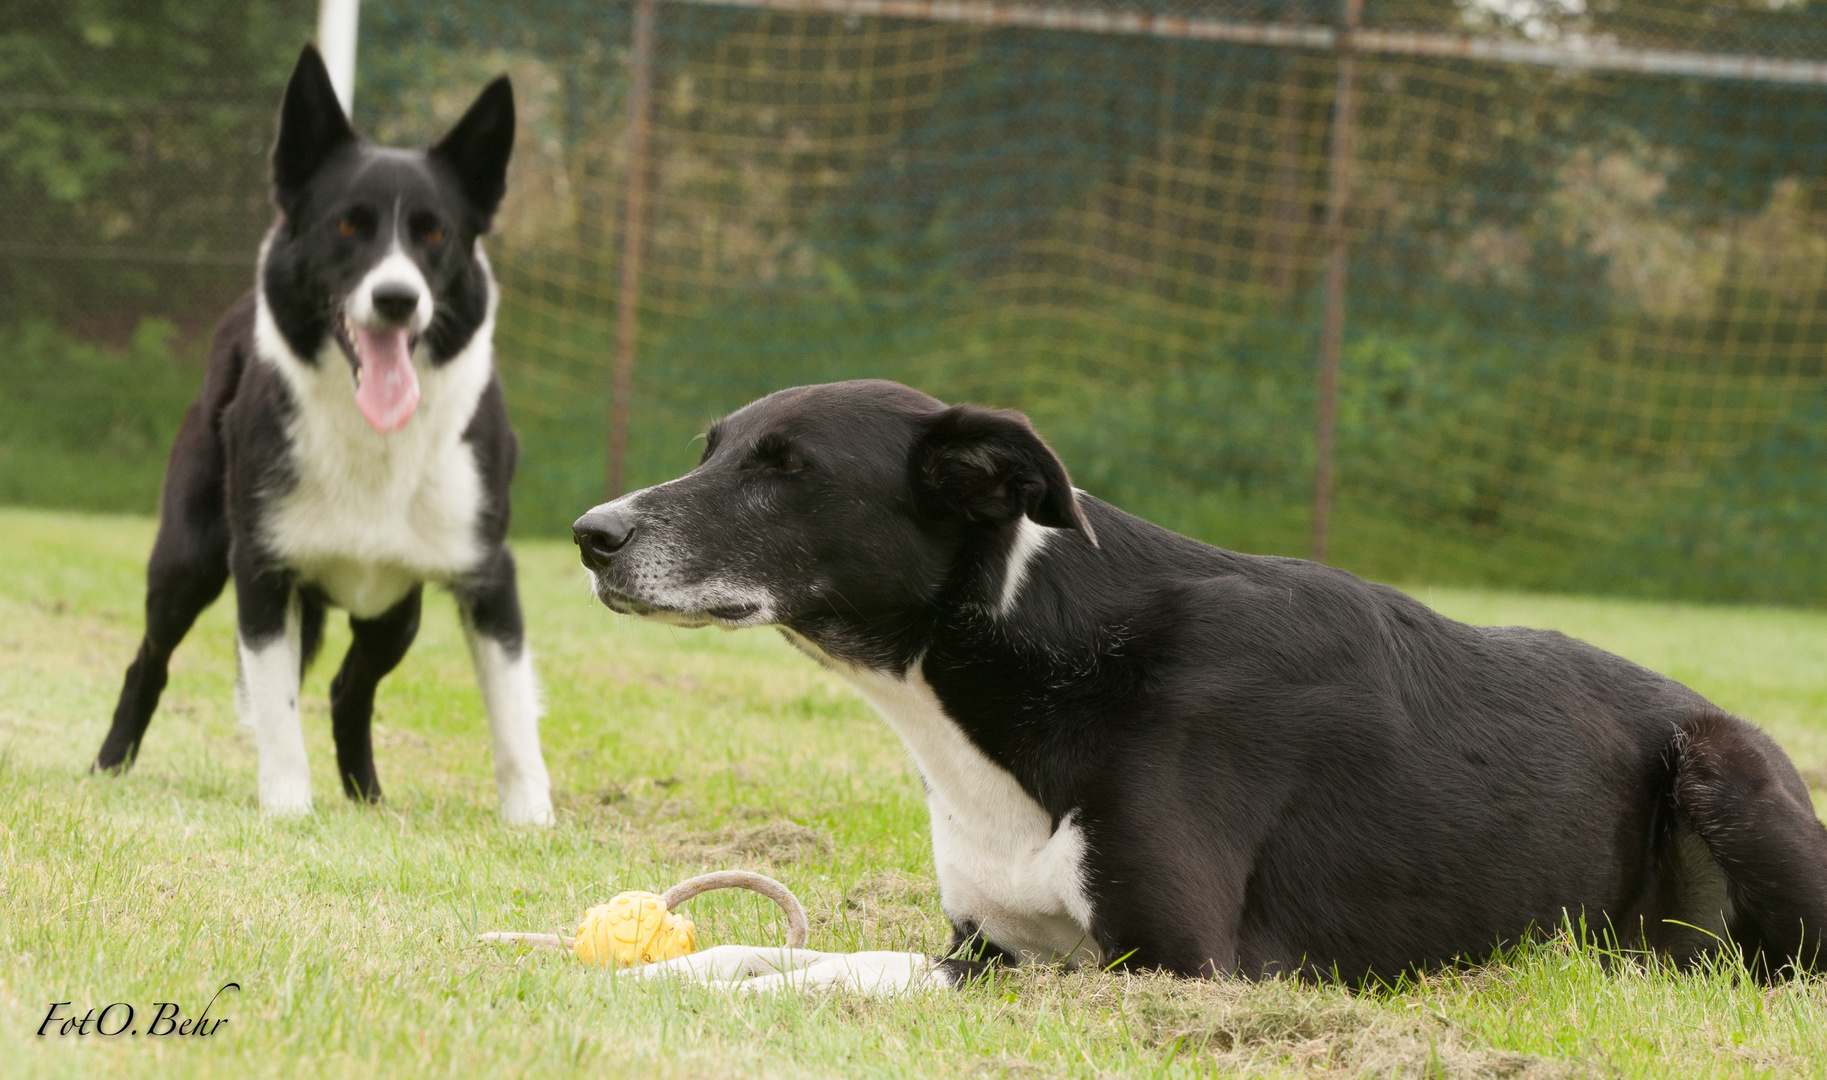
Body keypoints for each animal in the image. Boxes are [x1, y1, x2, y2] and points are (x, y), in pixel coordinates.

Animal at [94, 44, 548, 829]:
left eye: (434, 233)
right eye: (347, 227)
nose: (396, 300)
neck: (376, 441)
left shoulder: (488, 574)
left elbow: (512, 711)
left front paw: (532, 822)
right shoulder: (262, 572)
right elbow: (276, 713)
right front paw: (287, 811)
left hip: (394, 614)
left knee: (349, 690)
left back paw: (368, 796)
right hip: (187, 560)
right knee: (149, 659)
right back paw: (109, 765)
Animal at [570, 381, 1827, 986]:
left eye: (786, 471)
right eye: (712, 450)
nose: (590, 535)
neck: (1044, 665)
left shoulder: (1174, 966)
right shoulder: (987, 941)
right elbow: (800, 957)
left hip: (1723, 761)